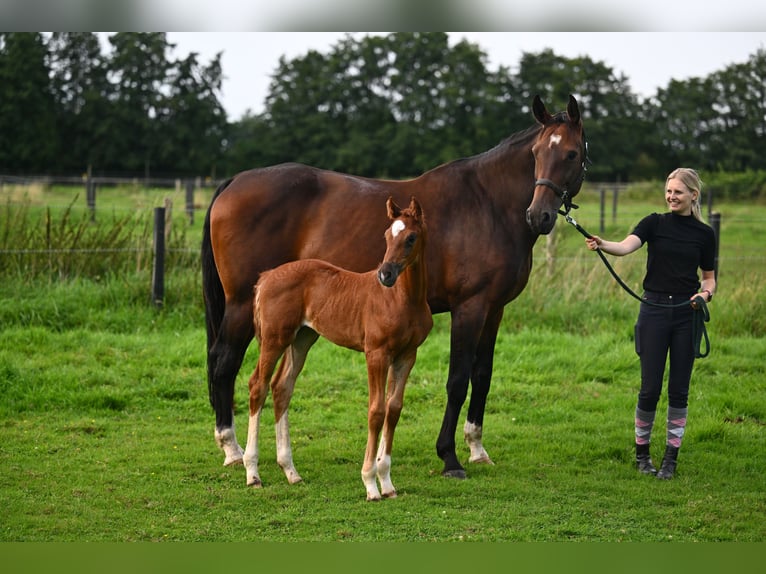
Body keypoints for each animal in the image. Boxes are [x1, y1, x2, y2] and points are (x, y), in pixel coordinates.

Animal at [248, 196, 436, 502]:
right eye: (387, 235)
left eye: (411, 237)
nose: (385, 274)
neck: (403, 299)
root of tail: (265, 277)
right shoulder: (376, 354)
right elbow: (376, 411)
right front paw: (370, 484)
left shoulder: (407, 355)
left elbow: (394, 409)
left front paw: (387, 483)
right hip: (275, 339)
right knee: (258, 386)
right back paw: (252, 473)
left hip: (302, 339)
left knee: (282, 387)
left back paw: (291, 472)